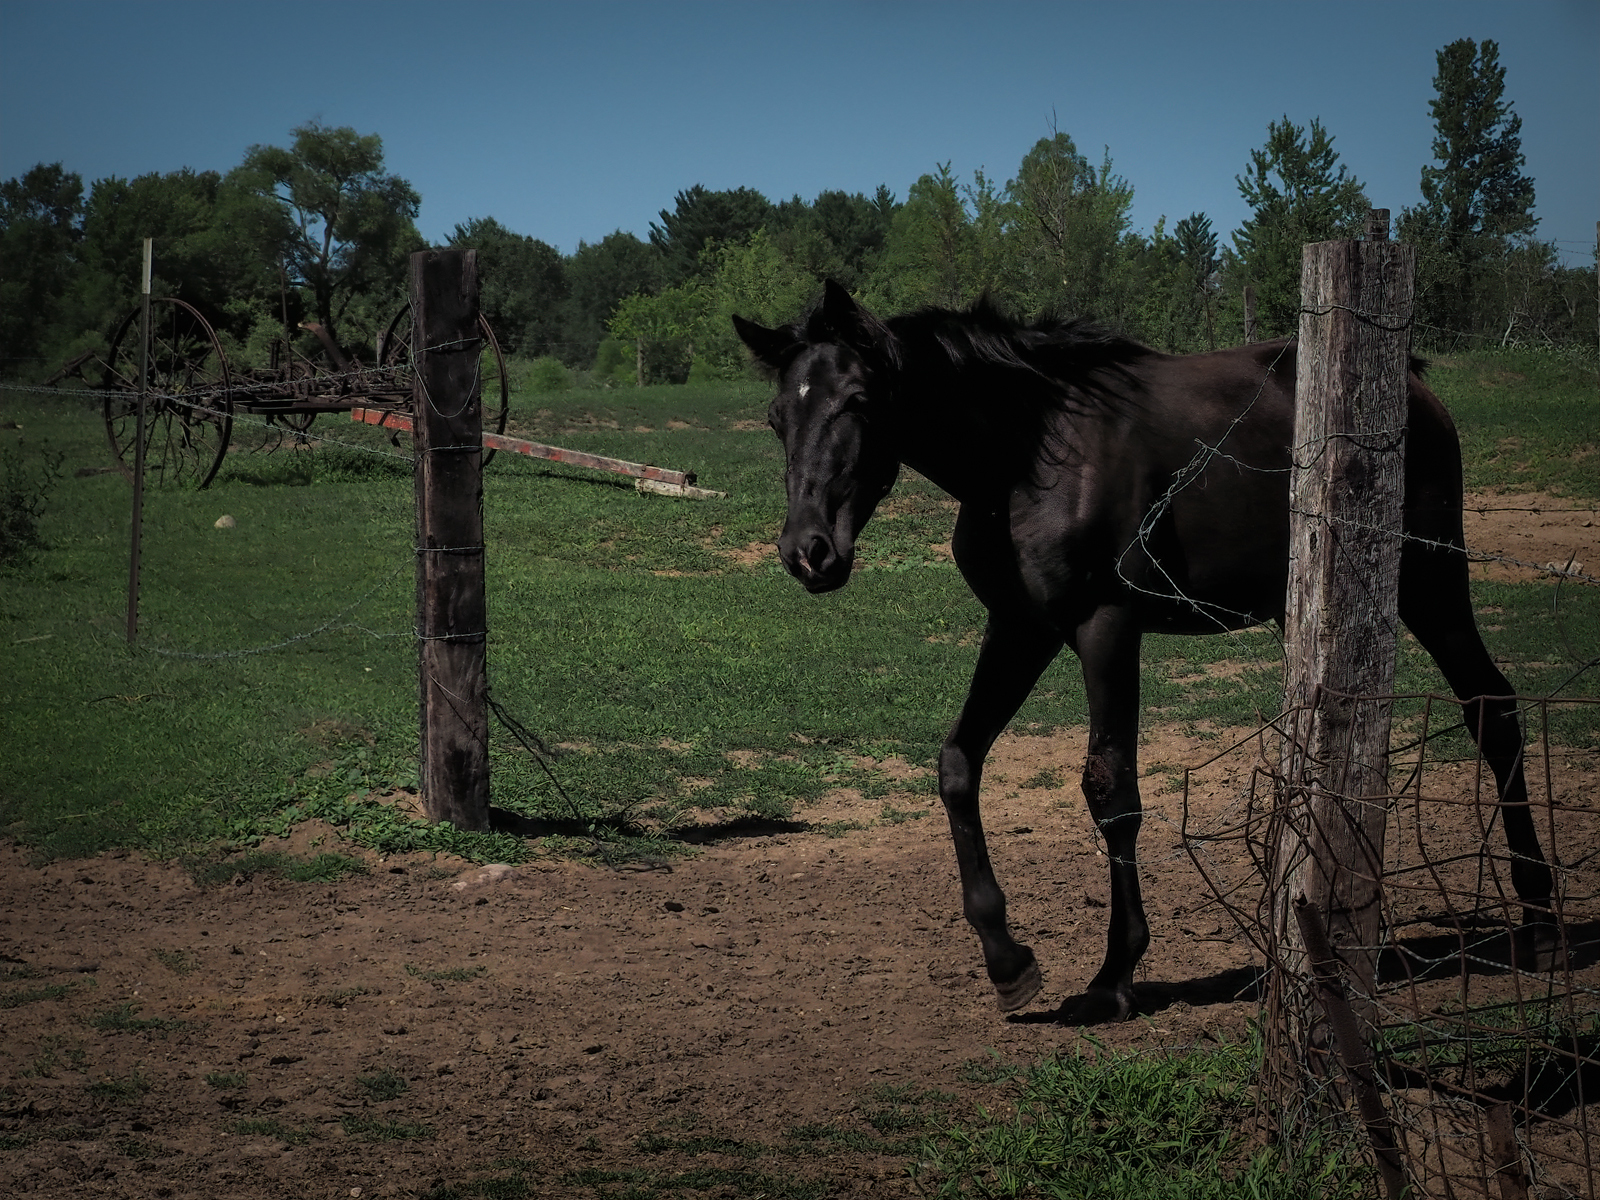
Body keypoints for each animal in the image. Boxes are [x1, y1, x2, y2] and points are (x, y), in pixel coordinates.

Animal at [733, 280, 1554, 1024]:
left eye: (857, 402)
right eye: (777, 417)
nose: (808, 551)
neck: (1027, 457)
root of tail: (1414, 386)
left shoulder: (1106, 625)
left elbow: (1111, 788)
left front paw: (1114, 974)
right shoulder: (1021, 627)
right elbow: (959, 765)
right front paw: (1007, 960)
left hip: (1432, 582)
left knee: (1492, 707)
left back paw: (1539, 917)